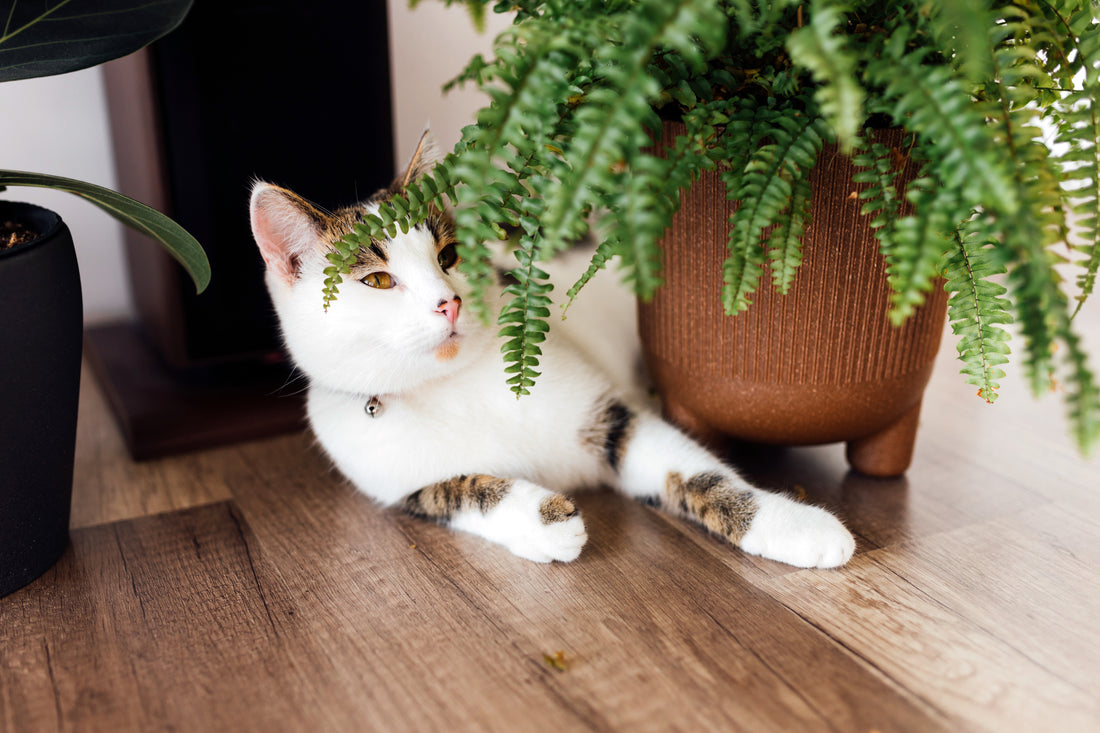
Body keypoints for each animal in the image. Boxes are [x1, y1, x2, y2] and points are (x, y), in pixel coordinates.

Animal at [251, 129, 858, 563]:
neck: (446, 384)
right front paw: (544, 520)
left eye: (448, 256)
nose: (449, 303)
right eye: (377, 281)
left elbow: (701, 474)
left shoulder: (611, 417)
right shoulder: (396, 478)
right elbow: (460, 491)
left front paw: (798, 527)